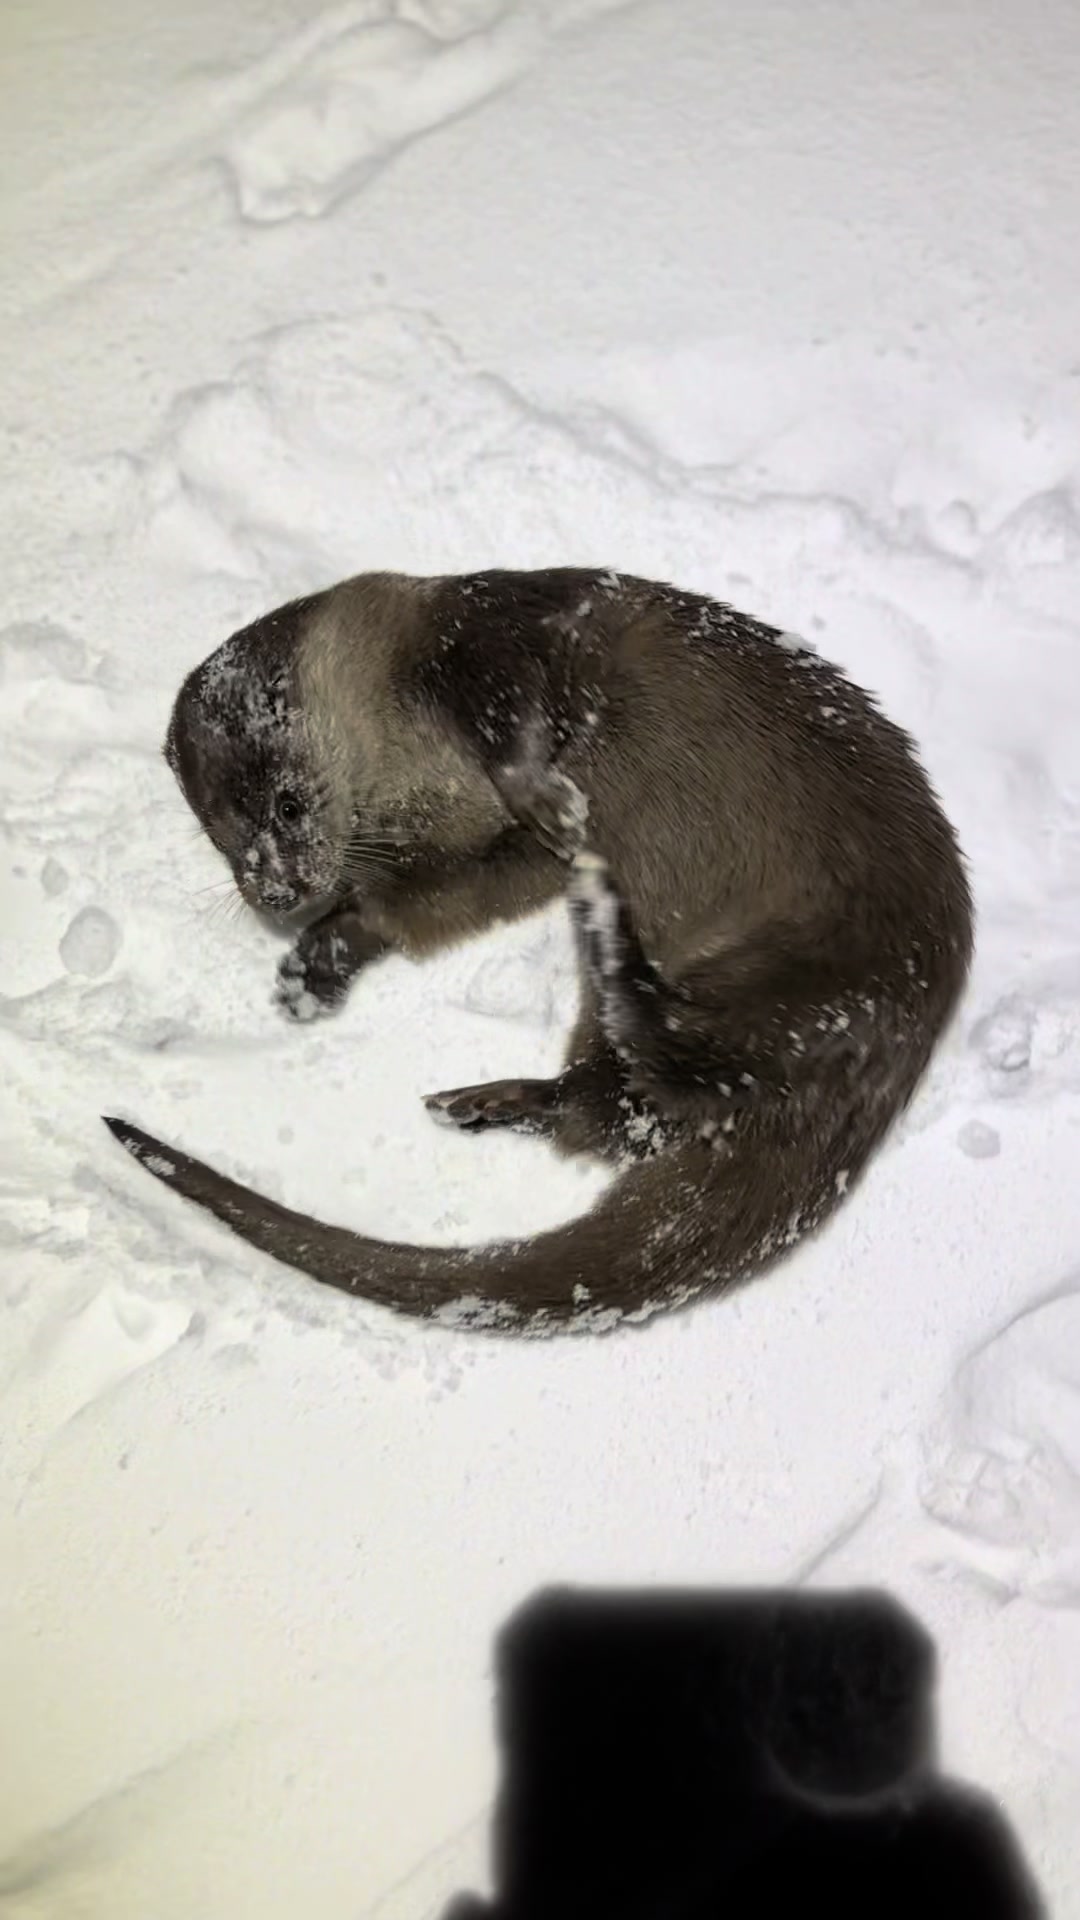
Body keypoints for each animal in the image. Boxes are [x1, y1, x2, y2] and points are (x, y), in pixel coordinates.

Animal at [105, 568, 973, 1334]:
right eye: (222, 839)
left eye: (286, 805)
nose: (276, 892)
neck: (410, 755)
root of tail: (885, 1078)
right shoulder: (484, 857)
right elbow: (421, 907)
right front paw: (317, 965)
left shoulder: (497, 638)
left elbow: (518, 717)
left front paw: (549, 795)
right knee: (618, 1109)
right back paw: (494, 1096)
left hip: (815, 985)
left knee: (683, 1066)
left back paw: (607, 937)